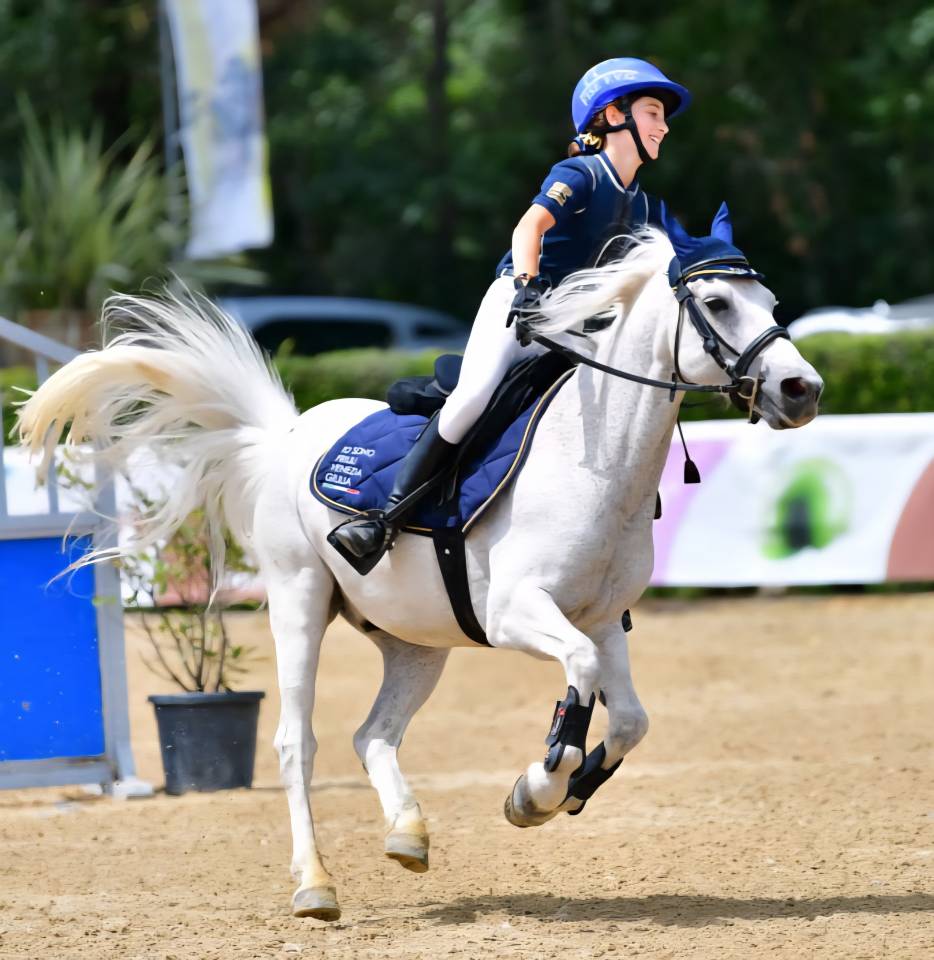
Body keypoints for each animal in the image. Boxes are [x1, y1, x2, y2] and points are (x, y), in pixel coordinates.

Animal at [17, 226, 822, 921]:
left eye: (773, 304)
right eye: (716, 303)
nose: (801, 390)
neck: (594, 458)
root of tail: (285, 434)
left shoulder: (600, 619)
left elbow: (628, 719)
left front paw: (554, 791)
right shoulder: (519, 614)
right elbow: (580, 681)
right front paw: (540, 788)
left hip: (415, 641)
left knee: (372, 735)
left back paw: (407, 834)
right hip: (298, 602)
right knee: (296, 744)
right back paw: (315, 886)